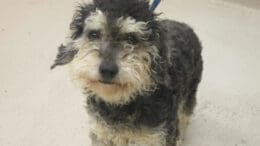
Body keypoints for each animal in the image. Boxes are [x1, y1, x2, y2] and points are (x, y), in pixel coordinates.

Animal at [51, 0, 203, 145]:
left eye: (132, 39)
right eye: (93, 34)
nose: (107, 70)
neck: (121, 104)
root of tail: (185, 26)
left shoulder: (157, 136)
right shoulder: (102, 133)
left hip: (189, 94)